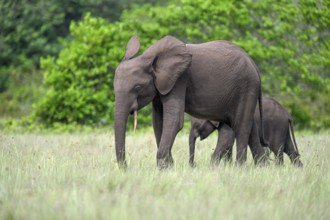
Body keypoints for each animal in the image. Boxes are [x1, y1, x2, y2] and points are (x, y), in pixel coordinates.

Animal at [114, 35, 266, 168]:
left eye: (137, 87)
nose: (126, 168)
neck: (149, 59)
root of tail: (254, 65)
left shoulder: (179, 80)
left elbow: (174, 120)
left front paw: (164, 168)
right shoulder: (159, 87)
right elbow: (158, 122)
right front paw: (169, 167)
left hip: (246, 87)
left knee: (241, 126)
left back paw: (240, 168)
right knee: (250, 127)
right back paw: (260, 167)